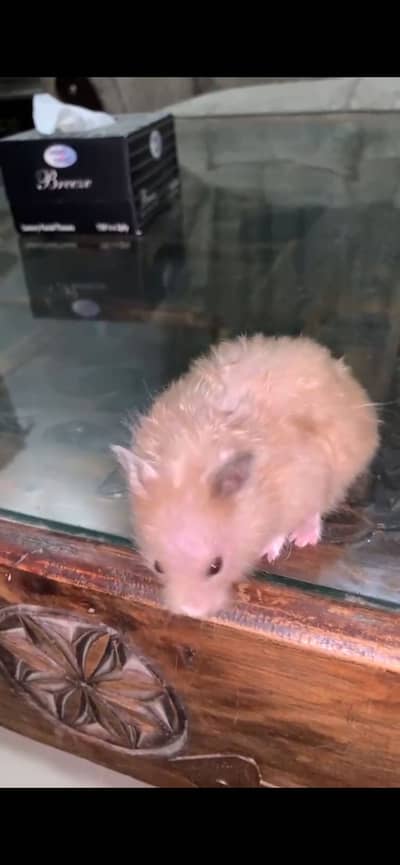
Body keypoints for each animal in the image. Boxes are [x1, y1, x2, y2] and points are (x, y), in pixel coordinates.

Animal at [113, 334, 379, 620]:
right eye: (158, 566)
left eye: (216, 566)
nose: (192, 613)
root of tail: (338, 368)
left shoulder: (301, 486)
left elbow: (282, 527)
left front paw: (268, 552)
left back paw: (303, 539)